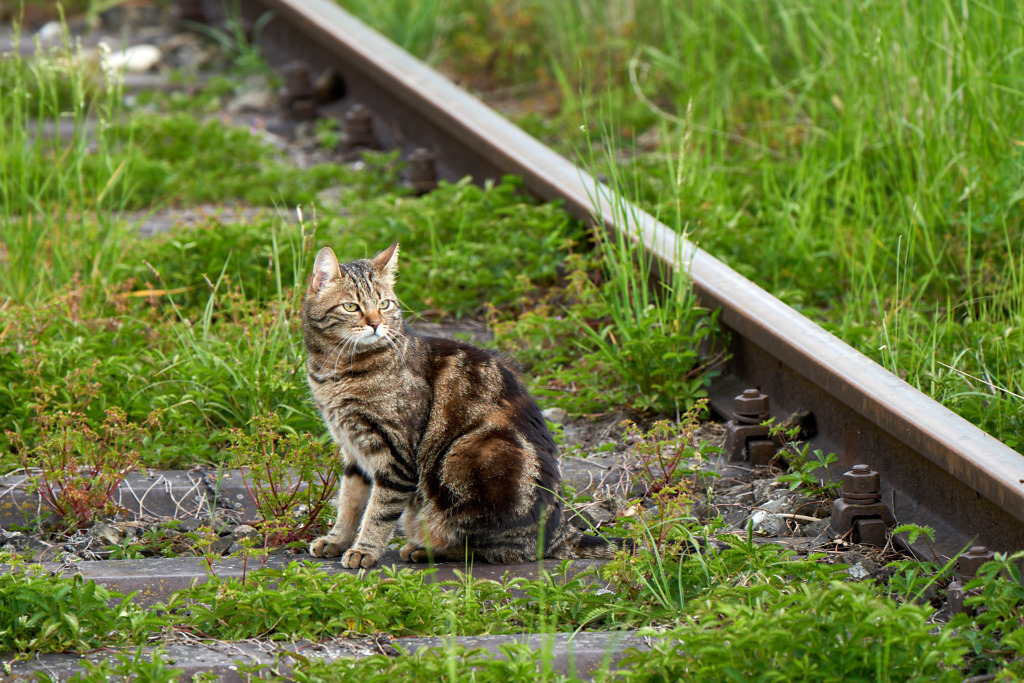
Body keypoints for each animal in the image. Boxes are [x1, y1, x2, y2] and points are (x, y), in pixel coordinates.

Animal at [301, 242, 622, 569]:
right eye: (351, 307)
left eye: (385, 304)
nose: (377, 324)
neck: (336, 369)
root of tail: (560, 530)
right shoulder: (352, 450)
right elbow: (349, 502)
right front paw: (337, 540)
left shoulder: (394, 453)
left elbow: (379, 511)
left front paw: (365, 550)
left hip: (472, 454)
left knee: (492, 547)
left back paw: (424, 548)